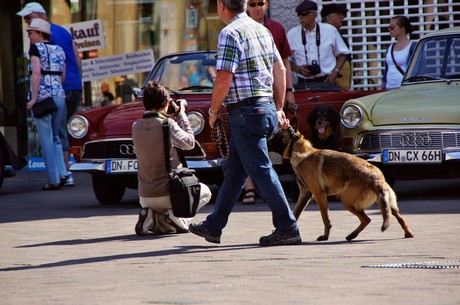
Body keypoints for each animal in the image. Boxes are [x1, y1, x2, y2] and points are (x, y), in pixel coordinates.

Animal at [268, 119, 416, 240]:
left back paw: (352, 235)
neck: (300, 152)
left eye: (278, 136)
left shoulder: (319, 194)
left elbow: (325, 218)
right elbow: (295, 213)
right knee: (397, 217)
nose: (266, 140)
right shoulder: (305, 194)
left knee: (366, 219)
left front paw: (325, 236)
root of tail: (376, 177)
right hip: (386, 203)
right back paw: (407, 233)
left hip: (346, 200)